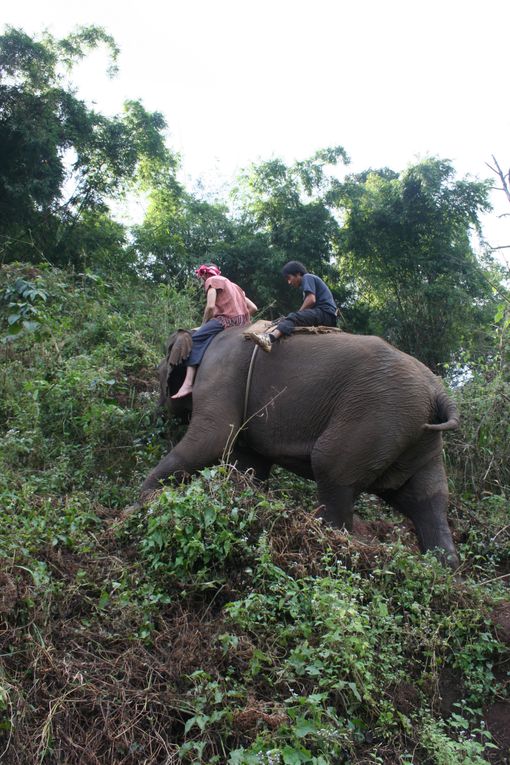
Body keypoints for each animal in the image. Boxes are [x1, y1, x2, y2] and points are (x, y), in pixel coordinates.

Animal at [141, 322, 460, 568]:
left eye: (159, 369)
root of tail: (439, 392)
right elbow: (249, 465)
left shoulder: (221, 372)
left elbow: (213, 438)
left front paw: (140, 505)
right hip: (415, 432)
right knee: (426, 497)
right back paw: (444, 571)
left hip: (376, 414)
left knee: (330, 467)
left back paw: (328, 542)